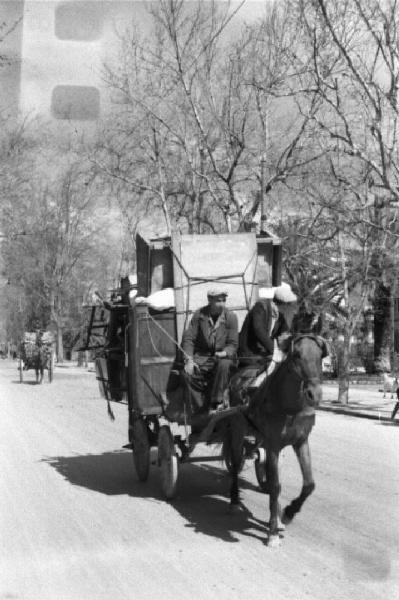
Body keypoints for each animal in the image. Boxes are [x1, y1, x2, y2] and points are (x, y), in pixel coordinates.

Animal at [223, 336, 330, 548]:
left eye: (320, 355)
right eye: (296, 355)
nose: (315, 394)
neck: (289, 407)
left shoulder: (301, 442)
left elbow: (309, 484)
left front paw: (287, 513)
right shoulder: (273, 446)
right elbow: (275, 486)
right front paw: (272, 530)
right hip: (237, 435)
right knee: (236, 466)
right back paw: (234, 500)